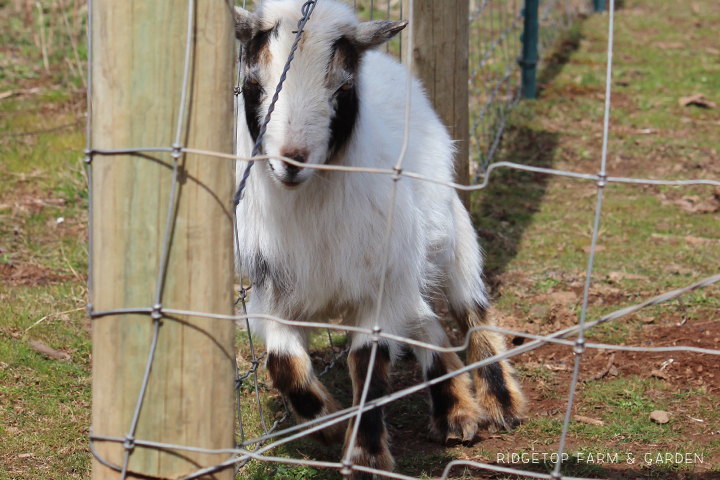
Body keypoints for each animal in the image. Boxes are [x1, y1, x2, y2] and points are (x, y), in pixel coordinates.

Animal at [235, 2, 524, 476]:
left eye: (343, 87)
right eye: (253, 86)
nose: (291, 161)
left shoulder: (381, 283)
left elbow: (368, 362)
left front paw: (365, 455)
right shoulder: (273, 288)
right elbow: (282, 363)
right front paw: (329, 425)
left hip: (446, 234)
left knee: (470, 309)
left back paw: (501, 404)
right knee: (426, 322)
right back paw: (456, 412)